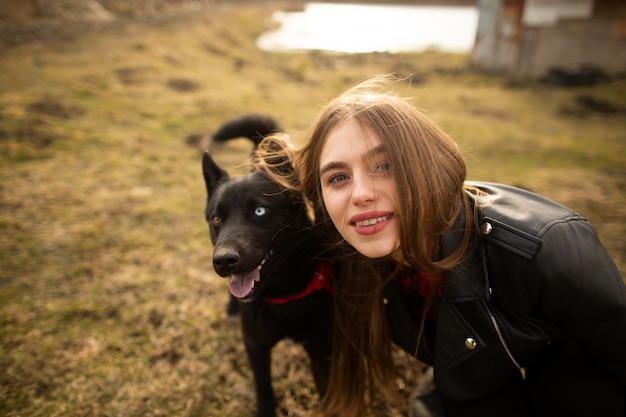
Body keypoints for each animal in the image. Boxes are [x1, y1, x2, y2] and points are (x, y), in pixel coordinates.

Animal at [204, 114, 332, 416]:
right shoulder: (256, 348)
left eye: (260, 211)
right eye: (217, 218)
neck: (284, 294)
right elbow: (264, 391)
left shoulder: (321, 352)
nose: (223, 261)